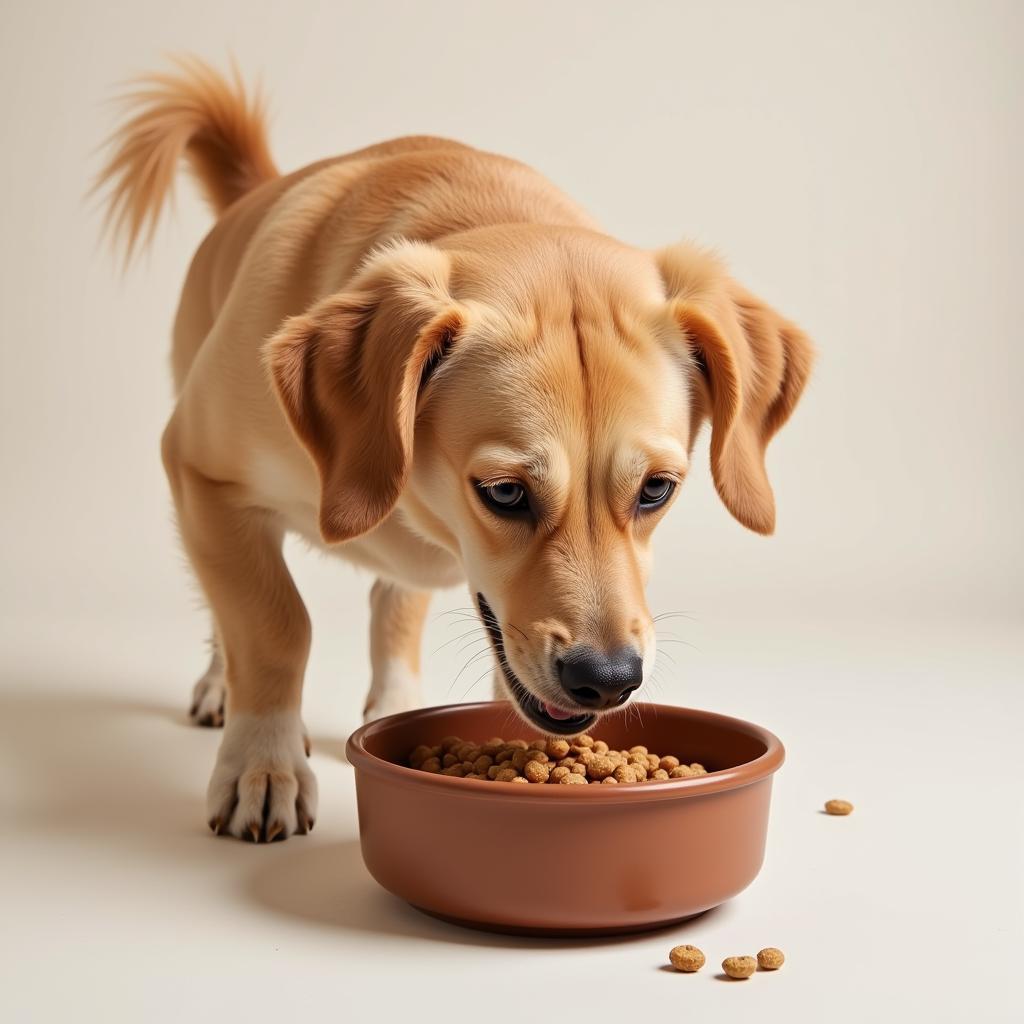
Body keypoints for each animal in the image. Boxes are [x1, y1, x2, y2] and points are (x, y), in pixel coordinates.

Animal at [97, 56, 815, 839]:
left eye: (657, 488)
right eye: (504, 493)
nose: (608, 681)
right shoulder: (200, 475)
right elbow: (273, 623)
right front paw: (264, 764)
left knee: (393, 606)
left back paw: (394, 702)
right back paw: (218, 684)